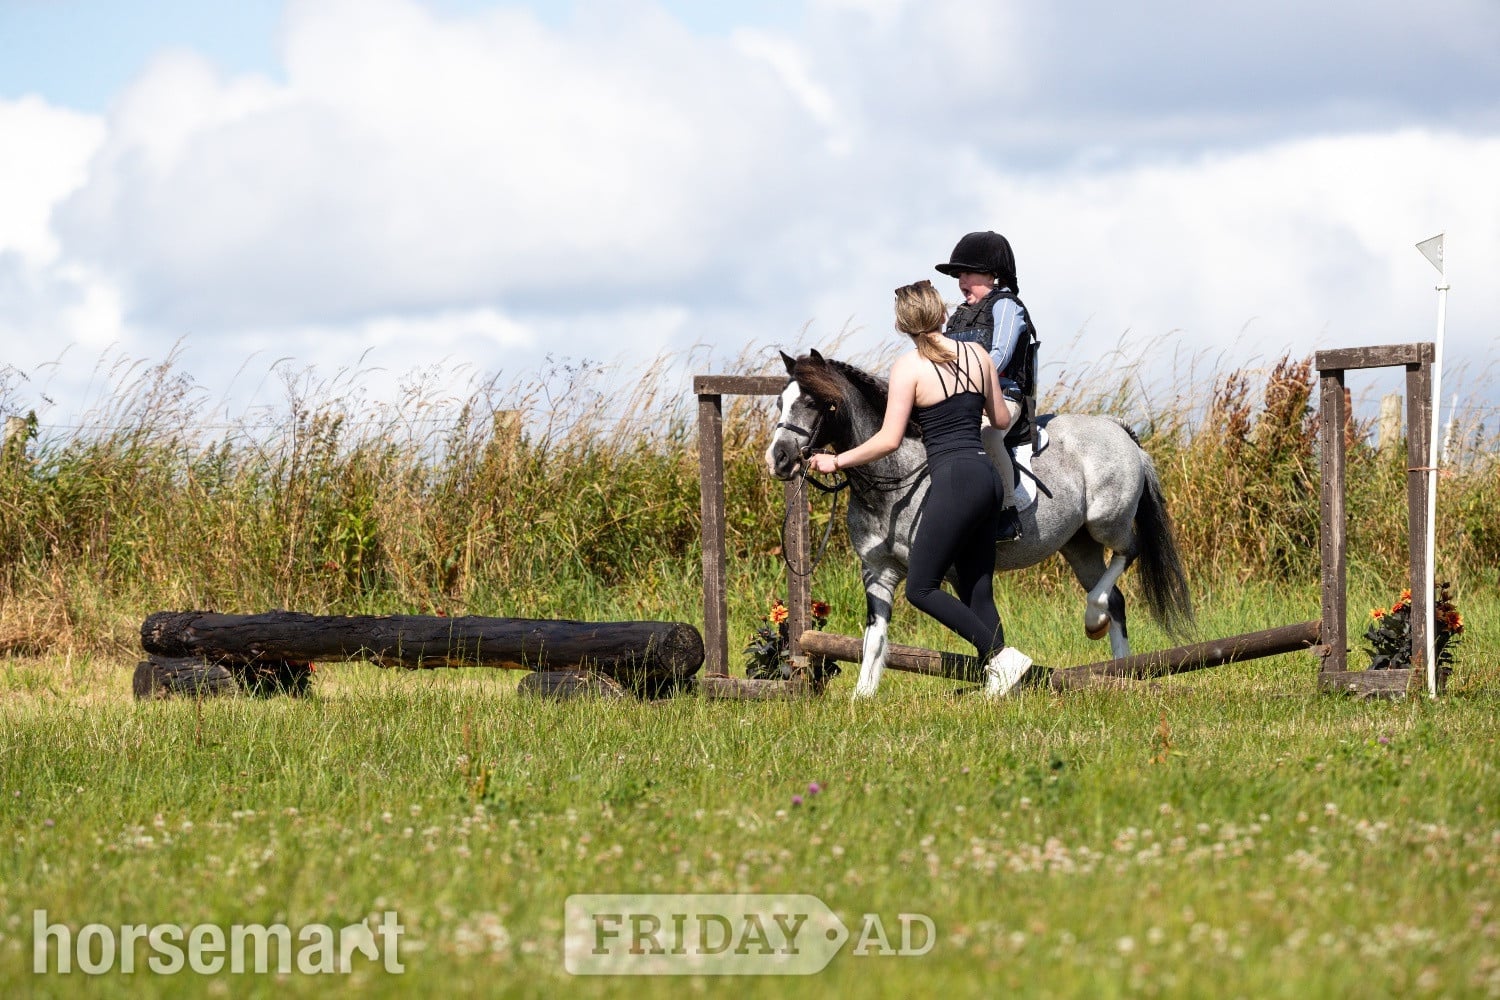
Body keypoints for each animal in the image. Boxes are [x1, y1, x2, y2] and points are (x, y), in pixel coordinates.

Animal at [764, 349, 1193, 698]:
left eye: (815, 402)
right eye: (780, 402)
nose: (779, 459)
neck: (892, 479)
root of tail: (1118, 428)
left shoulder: (952, 569)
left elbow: (978, 624)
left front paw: (1000, 683)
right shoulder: (878, 572)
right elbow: (875, 638)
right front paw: (862, 700)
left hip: (1107, 521)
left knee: (1129, 552)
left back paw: (1094, 619)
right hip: (1079, 544)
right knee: (1115, 598)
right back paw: (1120, 670)